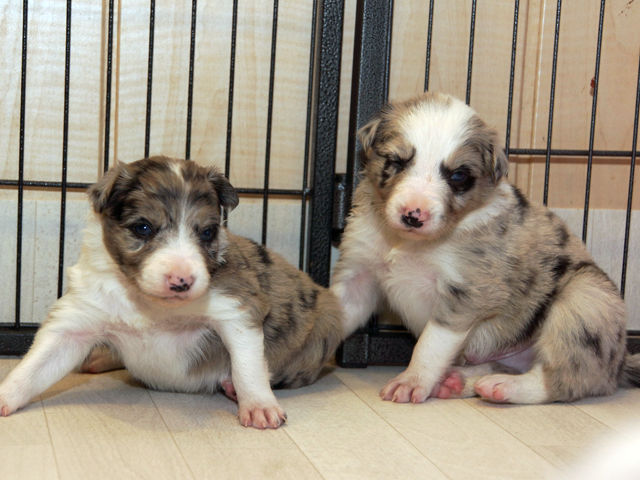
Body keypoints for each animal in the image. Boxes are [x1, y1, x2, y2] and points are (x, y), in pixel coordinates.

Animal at [0, 156, 343, 429]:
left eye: (207, 232)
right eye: (143, 228)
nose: (182, 281)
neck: (150, 305)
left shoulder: (236, 310)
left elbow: (248, 365)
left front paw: (259, 406)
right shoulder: (77, 320)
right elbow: (33, 368)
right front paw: (5, 396)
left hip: (321, 330)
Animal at [331, 92, 640, 404]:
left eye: (457, 176)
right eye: (396, 161)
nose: (413, 215)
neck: (408, 243)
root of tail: (621, 363)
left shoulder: (465, 293)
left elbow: (430, 344)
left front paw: (411, 380)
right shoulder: (359, 275)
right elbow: (336, 309)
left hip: (586, 301)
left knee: (565, 379)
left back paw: (504, 386)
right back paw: (459, 381)